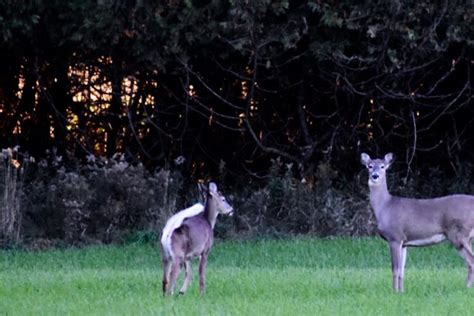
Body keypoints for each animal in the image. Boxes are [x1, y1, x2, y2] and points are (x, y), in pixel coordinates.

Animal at [362, 152, 474, 292]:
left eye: (383, 166)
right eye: (369, 166)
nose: (375, 176)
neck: (385, 207)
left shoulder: (395, 237)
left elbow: (395, 269)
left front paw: (394, 292)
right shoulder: (404, 242)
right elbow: (402, 271)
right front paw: (402, 292)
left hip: (459, 234)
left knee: (471, 262)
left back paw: (466, 288)